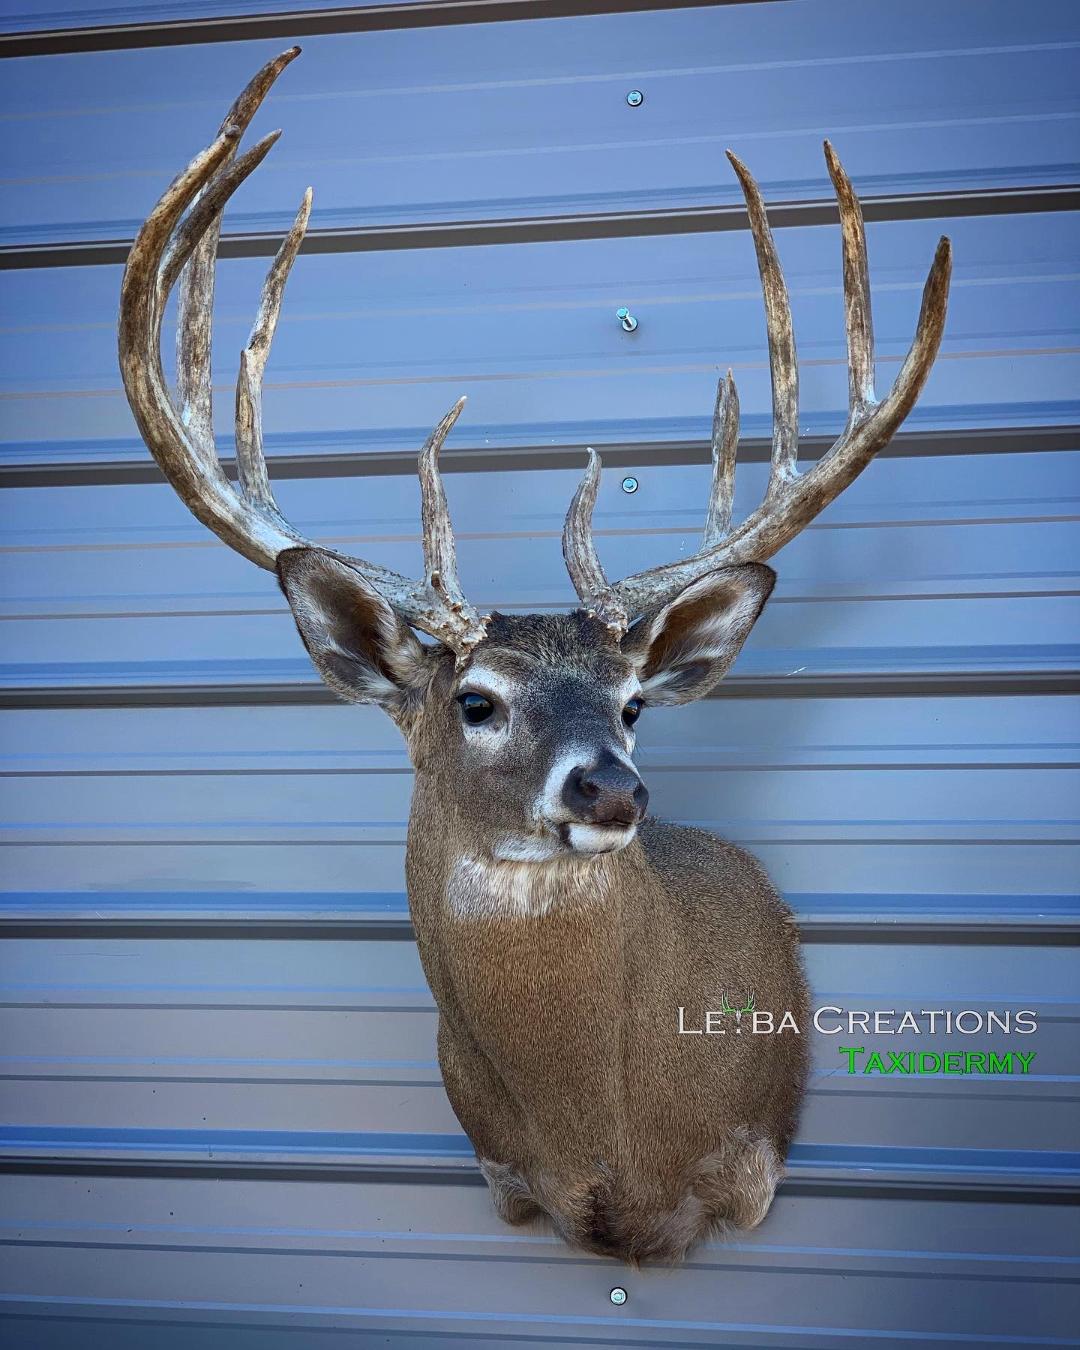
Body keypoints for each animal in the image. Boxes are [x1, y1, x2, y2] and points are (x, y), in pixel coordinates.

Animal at [117, 49, 951, 1264]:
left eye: (634, 702)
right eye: (476, 700)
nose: (612, 789)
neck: (610, 1152)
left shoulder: (752, 1162)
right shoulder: (504, 1179)